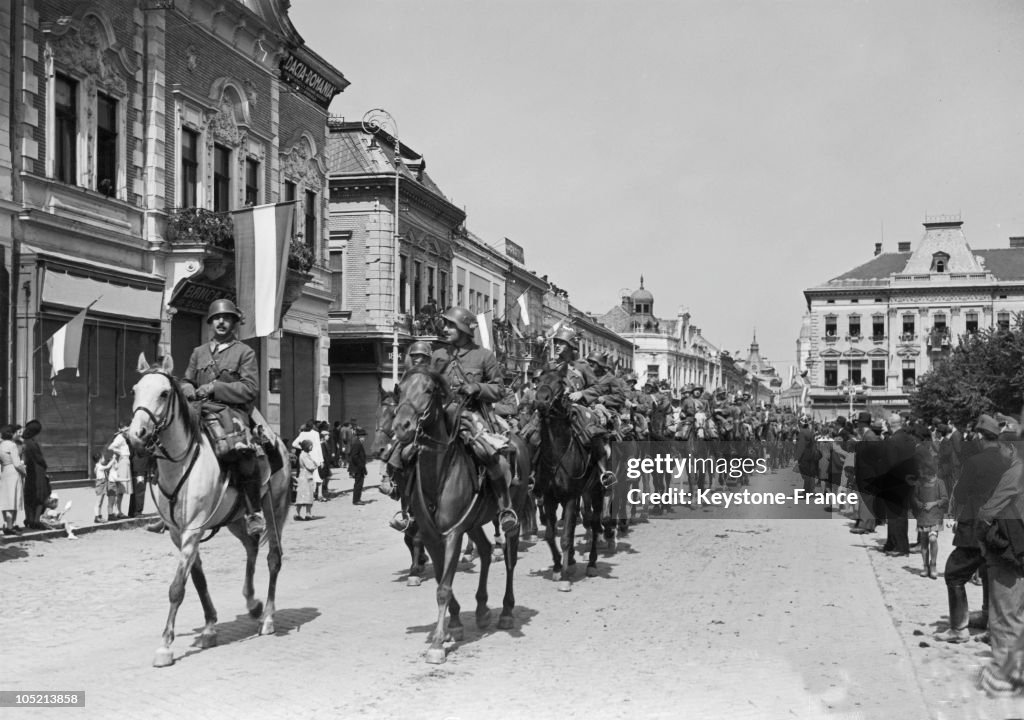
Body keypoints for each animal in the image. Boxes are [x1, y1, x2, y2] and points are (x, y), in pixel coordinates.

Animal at [387, 366, 524, 663]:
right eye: (400, 390)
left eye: (428, 390)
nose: (402, 426)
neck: (439, 473)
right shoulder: (432, 535)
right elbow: (441, 580)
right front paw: (456, 625)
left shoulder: (452, 533)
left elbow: (443, 588)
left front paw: (438, 642)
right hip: (473, 522)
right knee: (485, 549)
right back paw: (482, 609)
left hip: (514, 513)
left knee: (509, 559)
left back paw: (507, 611)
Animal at [532, 368, 602, 589]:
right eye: (538, 381)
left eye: (560, 383)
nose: (541, 400)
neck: (558, 454)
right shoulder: (549, 497)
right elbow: (550, 534)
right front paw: (557, 567)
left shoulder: (571, 496)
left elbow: (566, 537)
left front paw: (564, 579)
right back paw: (570, 560)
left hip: (596, 491)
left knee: (595, 523)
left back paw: (592, 563)